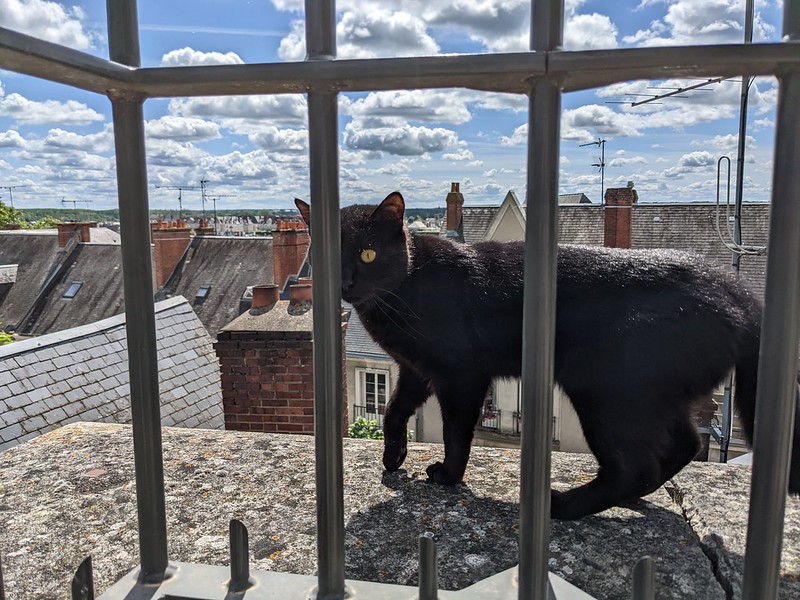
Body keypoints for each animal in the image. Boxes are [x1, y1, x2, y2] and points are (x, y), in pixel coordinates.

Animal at [296, 192, 800, 520]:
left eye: (367, 253)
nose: (345, 282)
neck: (401, 289)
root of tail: (736, 292)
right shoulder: (416, 369)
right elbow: (395, 409)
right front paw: (394, 454)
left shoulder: (461, 374)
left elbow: (457, 432)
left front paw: (449, 476)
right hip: (653, 394)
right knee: (685, 445)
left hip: (604, 389)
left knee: (637, 463)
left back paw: (565, 505)